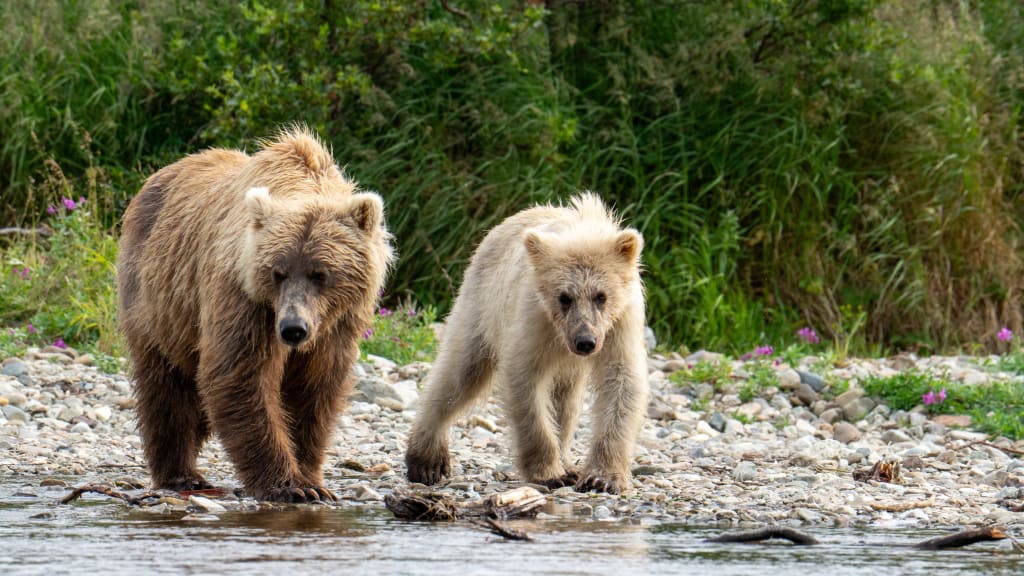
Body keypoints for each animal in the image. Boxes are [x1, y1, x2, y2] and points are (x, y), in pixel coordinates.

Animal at [117, 127, 394, 502]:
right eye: (278, 272)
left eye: (320, 273)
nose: (293, 329)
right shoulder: (246, 299)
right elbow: (241, 375)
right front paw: (291, 486)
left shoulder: (336, 324)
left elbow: (314, 389)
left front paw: (312, 479)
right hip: (158, 304)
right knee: (166, 387)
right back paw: (181, 475)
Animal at [405, 192, 648, 494]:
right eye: (564, 297)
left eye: (601, 295)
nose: (585, 342)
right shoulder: (534, 319)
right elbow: (526, 382)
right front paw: (548, 473)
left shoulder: (620, 324)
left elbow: (621, 382)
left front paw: (601, 477)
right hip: (481, 305)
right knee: (460, 373)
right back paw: (426, 461)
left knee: (565, 402)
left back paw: (568, 462)